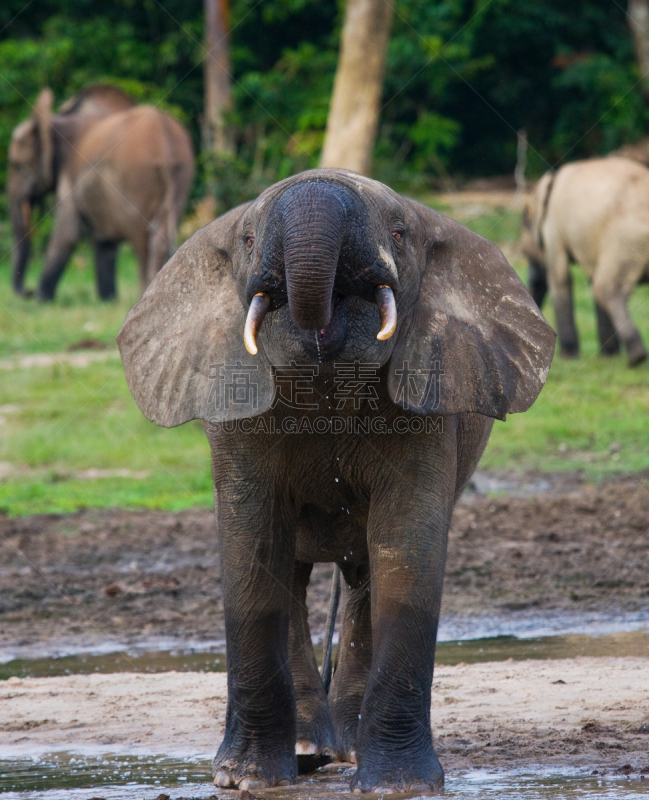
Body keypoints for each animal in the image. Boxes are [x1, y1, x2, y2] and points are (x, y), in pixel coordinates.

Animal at [7, 86, 194, 302]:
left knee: (141, 236)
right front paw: (108, 300)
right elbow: (104, 242)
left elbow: (67, 233)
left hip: (136, 180)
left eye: (17, 165)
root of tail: (165, 144)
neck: (55, 122)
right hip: (182, 176)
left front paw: (42, 300)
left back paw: (143, 294)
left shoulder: (69, 176)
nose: (27, 291)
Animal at [116, 169, 552, 792]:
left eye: (399, 233)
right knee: (294, 579)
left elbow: (406, 553)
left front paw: (399, 787)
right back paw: (305, 751)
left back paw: (343, 750)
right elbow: (252, 554)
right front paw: (246, 781)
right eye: (248, 240)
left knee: (365, 579)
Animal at [520, 155, 649, 366]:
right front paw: (609, 356)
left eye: (525, 253)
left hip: (625, 237)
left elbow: (560, 276)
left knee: (606, 288)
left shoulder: (553, 227)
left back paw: (636, 358)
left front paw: (568, 357)